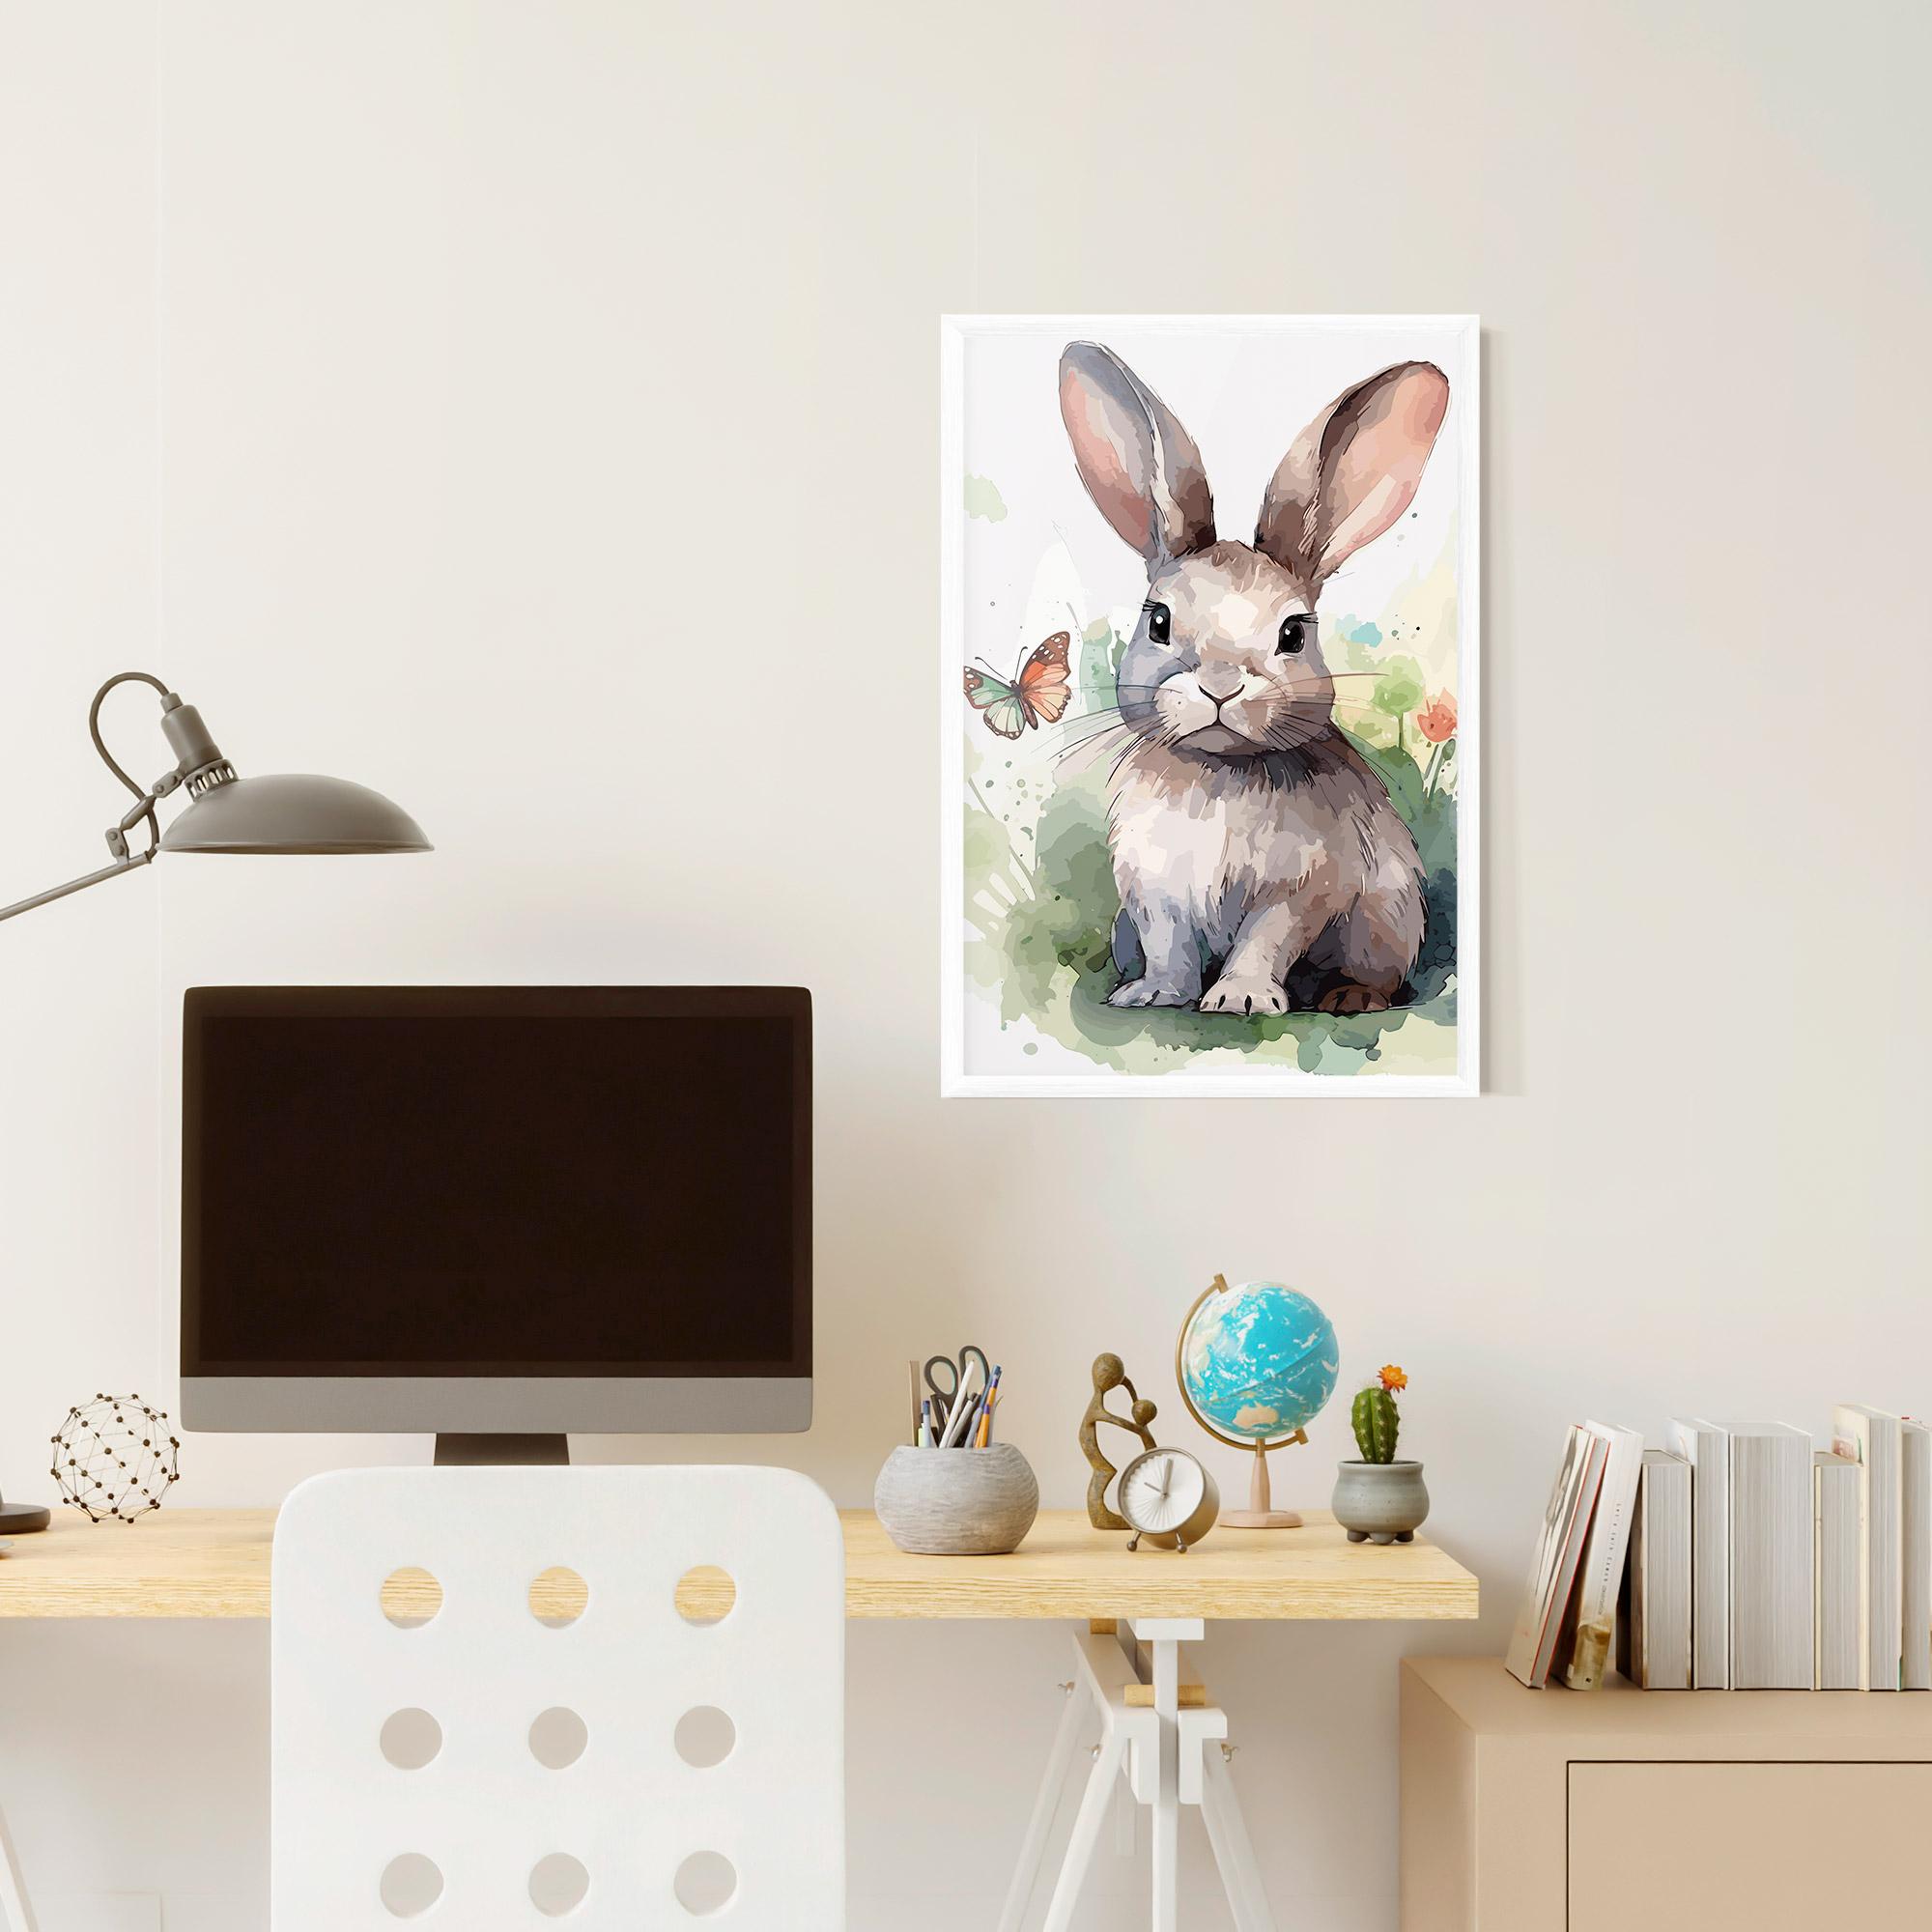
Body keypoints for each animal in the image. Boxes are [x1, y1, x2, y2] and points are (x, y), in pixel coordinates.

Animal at [1057, 341, 1451, 1017]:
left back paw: (1347, 998)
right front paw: (1156, 995)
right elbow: (1170, 947)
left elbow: (1264, 941)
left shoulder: (1297, 891)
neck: (1221, 772)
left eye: (1293, 634)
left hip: (1388, 922)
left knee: (1377, 974)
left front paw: (1239, 999)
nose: (1220, 686)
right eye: (1158, 621)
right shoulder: (1155, 893)